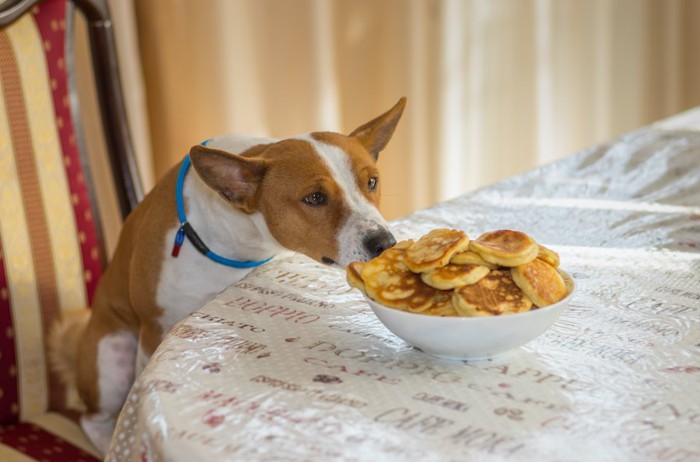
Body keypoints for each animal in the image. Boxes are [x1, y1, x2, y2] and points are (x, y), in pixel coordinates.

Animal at [49, 97, 408, 454]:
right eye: (315, 198)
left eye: (371, 182)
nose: (384, 242)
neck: (240, 242)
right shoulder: (153, 330)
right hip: (111, 357)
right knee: (93, 418)